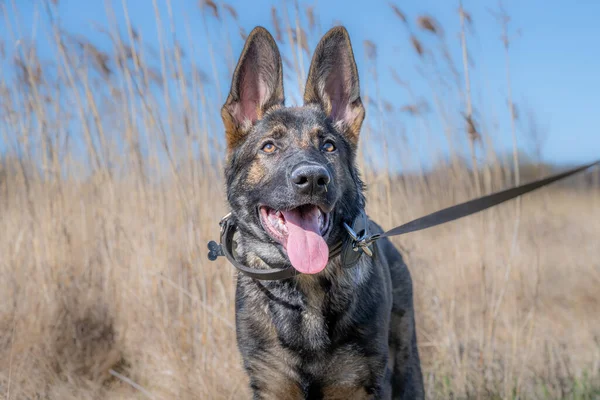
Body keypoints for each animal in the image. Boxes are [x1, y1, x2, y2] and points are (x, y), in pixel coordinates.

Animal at [219, 25, 422, 400]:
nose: (313, 178)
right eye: (269, 146)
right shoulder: (271, 384)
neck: (307, 283)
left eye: (328, 146)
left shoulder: (358, 385)